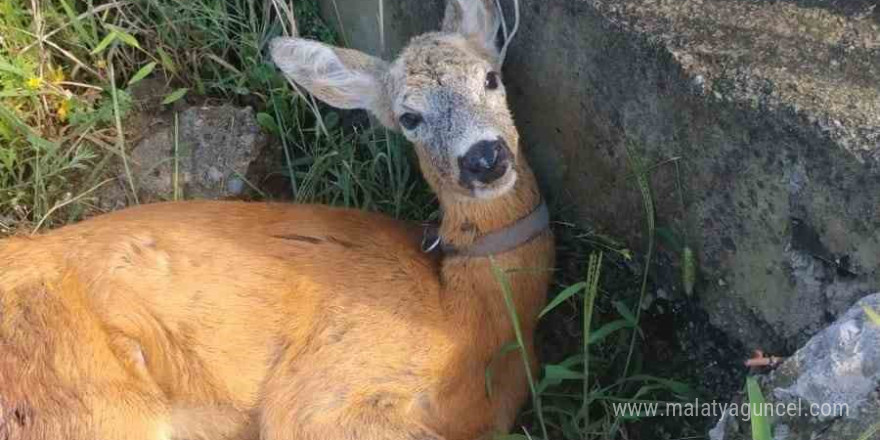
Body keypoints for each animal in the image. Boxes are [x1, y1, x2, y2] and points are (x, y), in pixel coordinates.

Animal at [0, 0, 552, 438]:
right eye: (409, 118)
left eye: (490, 78)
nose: (484, 157)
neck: (466, 317)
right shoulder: (318, 396)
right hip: (86, 400)